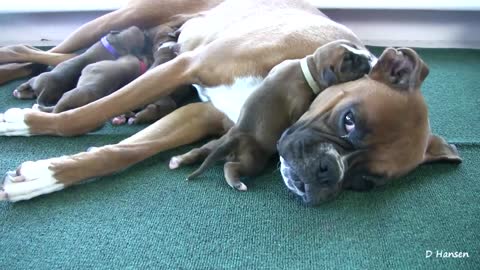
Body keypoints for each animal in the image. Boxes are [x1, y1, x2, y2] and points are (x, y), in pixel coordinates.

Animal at [169, 41, 372, 191]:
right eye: (349, 59)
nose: (370, 57)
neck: (307, 67)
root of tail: (236, 135)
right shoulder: (299, 103)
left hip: (217, 144)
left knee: (200, 150)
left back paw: (179, 160)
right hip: (252, 161)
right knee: (231, 167)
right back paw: (238, 184)